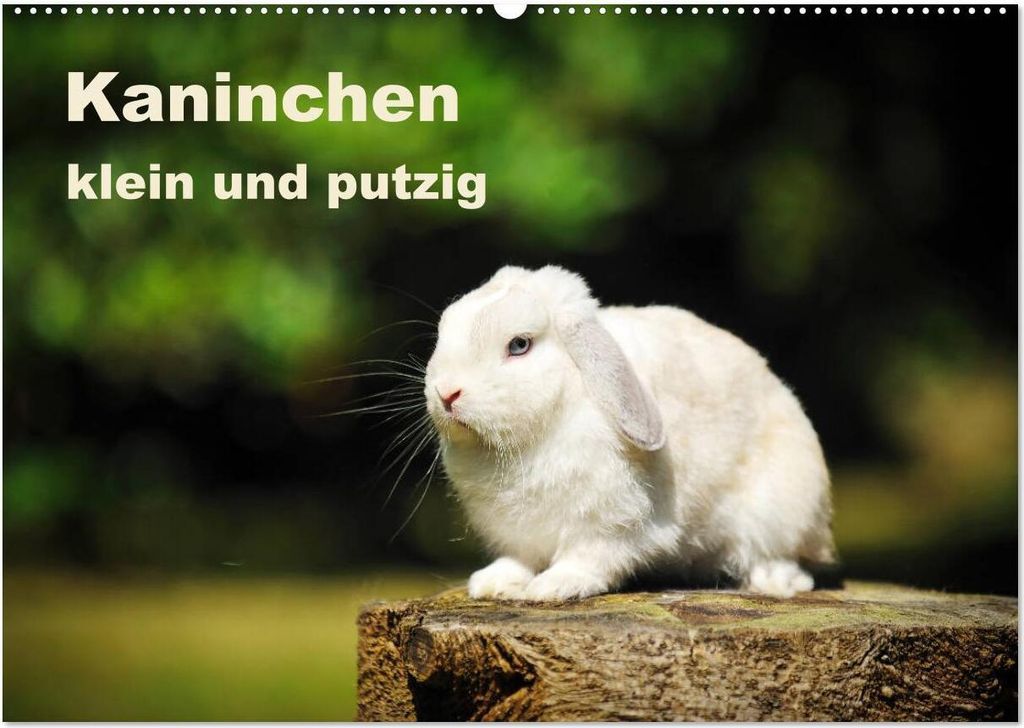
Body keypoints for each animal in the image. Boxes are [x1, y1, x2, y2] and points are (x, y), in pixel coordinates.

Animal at [423, 265, 835, 601]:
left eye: (519, 345)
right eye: (444, 331)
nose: (447, 393)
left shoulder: (610, 524)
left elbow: (588, 557)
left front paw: (554, 587)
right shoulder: (519, 531)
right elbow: (520, 558)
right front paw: (493, 583)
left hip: (777, 509)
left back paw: (772, 582)